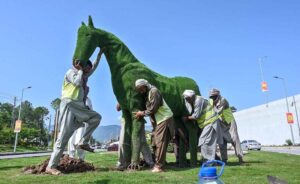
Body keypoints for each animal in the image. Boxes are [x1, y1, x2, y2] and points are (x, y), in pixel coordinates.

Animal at [72, 16, 202, 169]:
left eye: (88, 35)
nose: (77, 62)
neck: (123, 67)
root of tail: (195, 86)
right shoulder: (126, 111)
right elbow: (127, 136)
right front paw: (124, 164)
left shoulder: (135, 108)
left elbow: (135, 135)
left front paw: (134, 164)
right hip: (178, 117)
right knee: (182, 138)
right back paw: (181, 163)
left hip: (187, 117)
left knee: (192, 133)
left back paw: (193, 162)